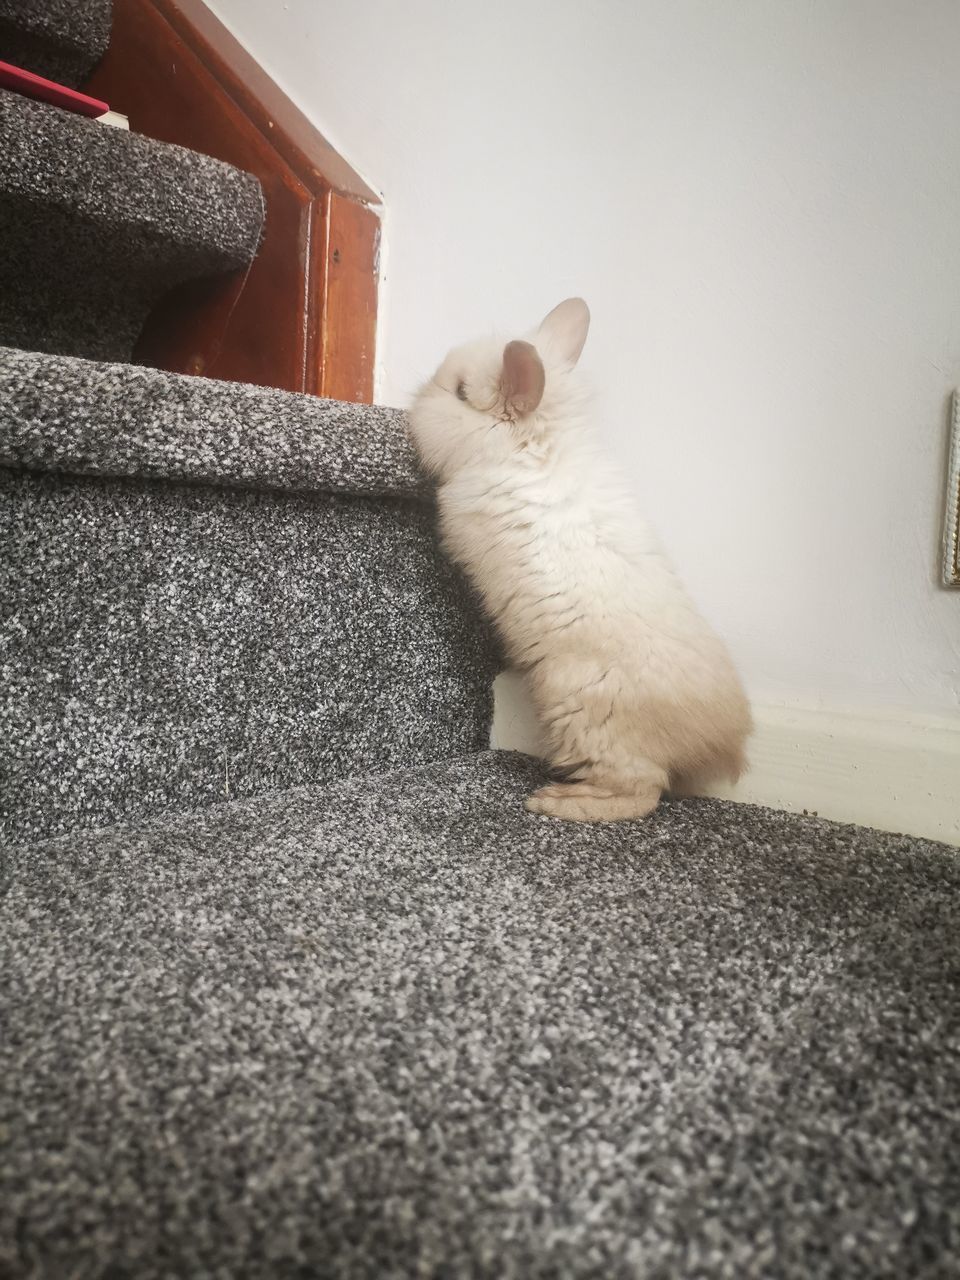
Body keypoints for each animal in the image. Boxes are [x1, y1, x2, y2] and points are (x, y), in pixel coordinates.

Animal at [407, 298, 752, 819]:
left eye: (462, 393)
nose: (416, 395)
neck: (531, 446)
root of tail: (718, 742)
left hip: (582, 712)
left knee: (641, 792)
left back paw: (557, 802)